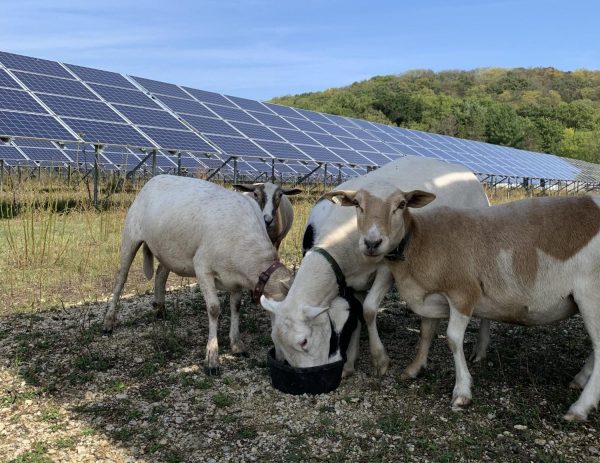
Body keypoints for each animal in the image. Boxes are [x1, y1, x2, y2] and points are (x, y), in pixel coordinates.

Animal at [104, 176, 292, 376]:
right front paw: (212, 358)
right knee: (120, 279)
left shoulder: (236, 279)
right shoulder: (203, 268)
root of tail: (154, 179)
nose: (285, 362)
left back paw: (160, 309)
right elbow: (214, 309)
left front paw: (236, 344)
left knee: (160, 273)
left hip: (168, 249)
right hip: (131, 235)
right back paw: (108, 322)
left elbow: (236, 306)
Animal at [262, 155, 492, 376]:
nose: (313, 373)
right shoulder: (352, 282)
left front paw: (380, 360)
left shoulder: (385, 269)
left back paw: (480, 350)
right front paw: (350, 364)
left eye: (304, 342)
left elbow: (369, 309)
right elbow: (357, 312)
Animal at [328, 183, 600, 422]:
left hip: (591, 295)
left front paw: (462, 391)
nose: (372, 243)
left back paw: (579, 408)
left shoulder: (463, 293)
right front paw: (411, 368)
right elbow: (425, 331)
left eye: (401, 204)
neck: (420, 241)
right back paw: (580, 381)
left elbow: (452, 339)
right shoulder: (431, 296)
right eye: (357, 204)